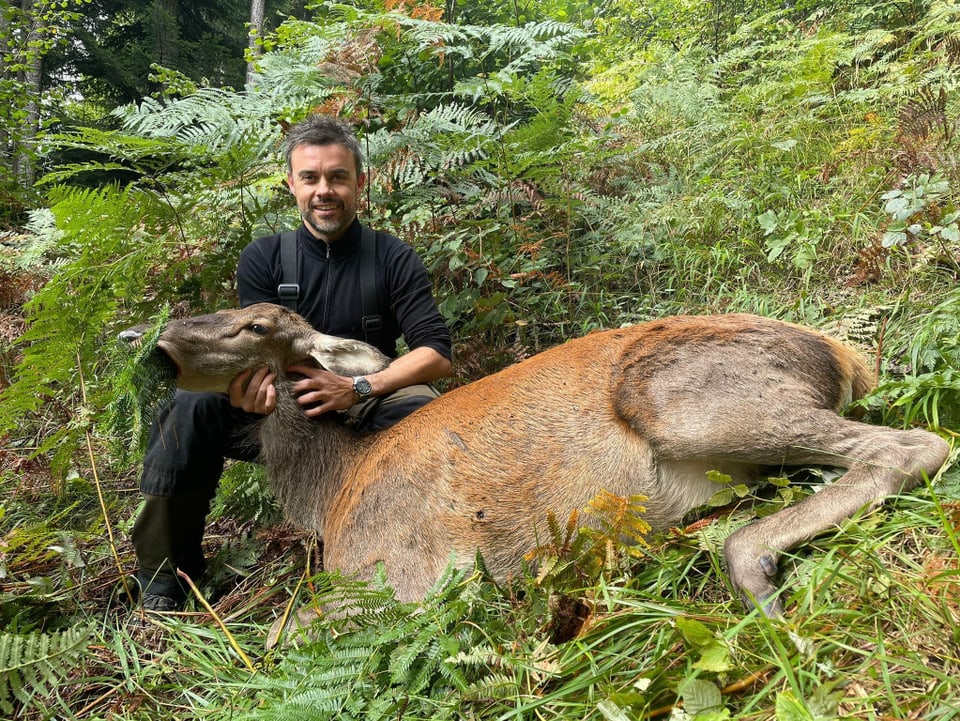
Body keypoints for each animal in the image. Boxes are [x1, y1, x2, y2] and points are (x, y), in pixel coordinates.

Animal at [127, 300, 952, 640]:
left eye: (255, 324)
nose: (154, 345)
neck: (329, 494)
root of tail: (846, 354)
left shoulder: (424, 570)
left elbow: (278, 634)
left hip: (682, 398)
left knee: (915, 444)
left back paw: (753, 575)